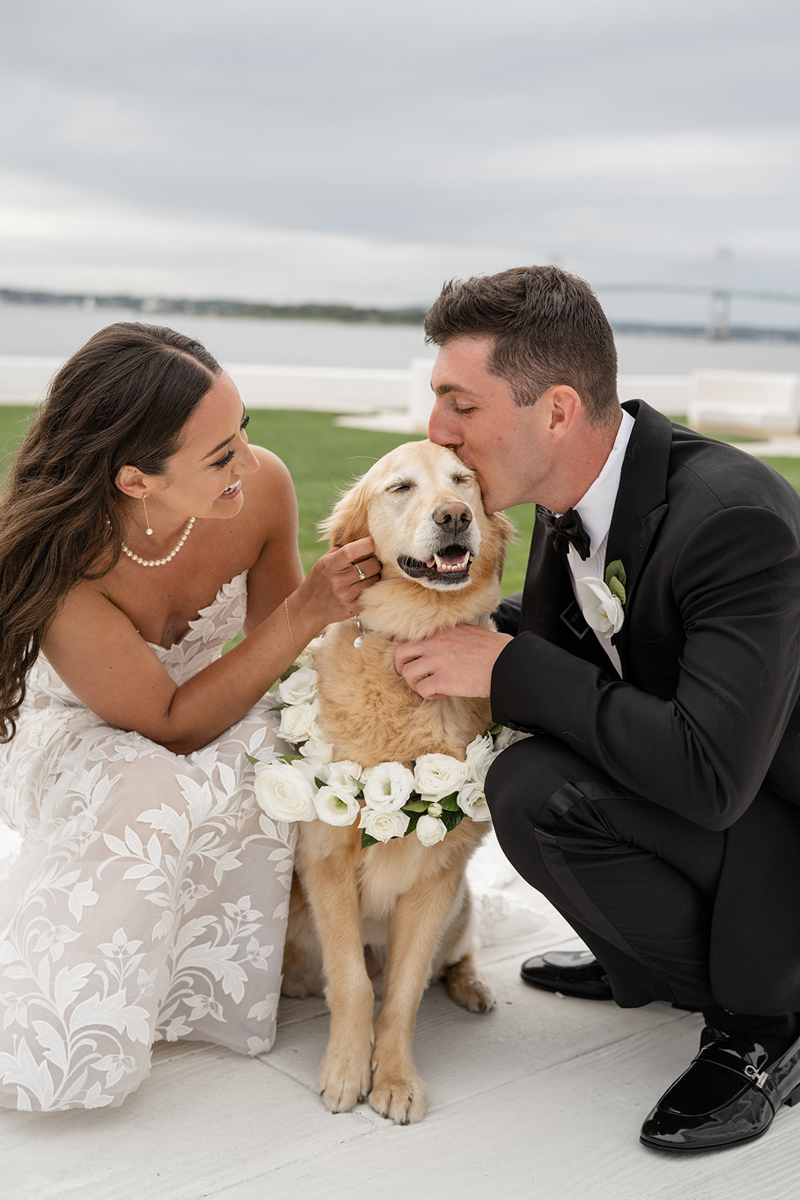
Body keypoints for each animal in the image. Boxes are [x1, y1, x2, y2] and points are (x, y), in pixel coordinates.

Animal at [281, 439, 515, 1123]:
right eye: (401, 487)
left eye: (464, 480)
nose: (454, 516)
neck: (413, 636)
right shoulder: (325, 861)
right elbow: (354, 985)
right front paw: (345, 1070)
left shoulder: (437, 881)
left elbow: (404, 993)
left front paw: (395, 1079)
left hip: (462, 906)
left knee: (455, 957)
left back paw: (473, 985)